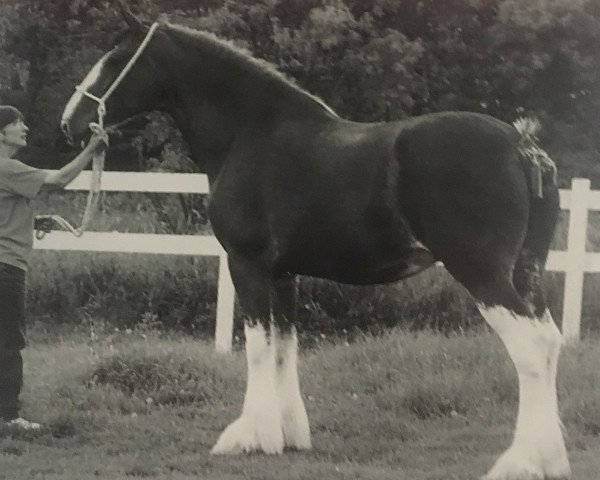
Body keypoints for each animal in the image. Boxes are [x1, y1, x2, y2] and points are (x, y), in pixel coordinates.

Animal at [58, 4, 568, 480]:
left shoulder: (247, 264)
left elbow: (258, 346)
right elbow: (285, 346)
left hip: (481, 273)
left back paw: (520, 462)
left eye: (115, 59)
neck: (250, 133)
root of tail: (522, 146)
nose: (70, 121)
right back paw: (552, 459)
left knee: (530, 349)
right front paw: (288, 435)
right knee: (550, 343)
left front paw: (249, 436)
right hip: (527, 273)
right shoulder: (284, 273)